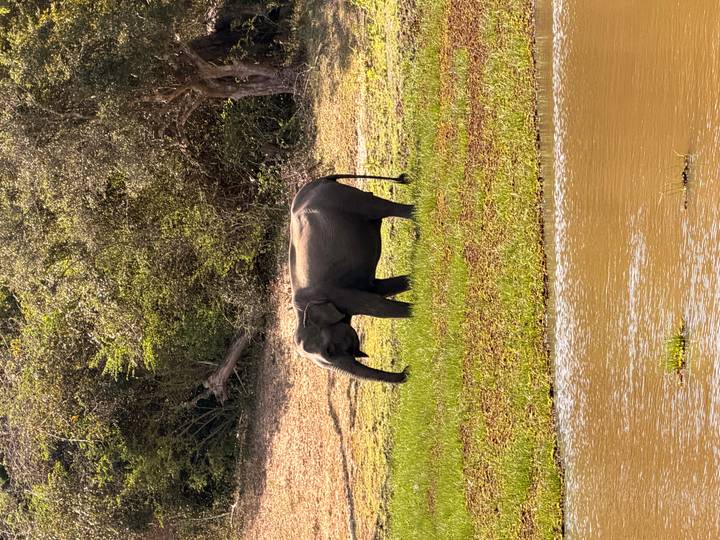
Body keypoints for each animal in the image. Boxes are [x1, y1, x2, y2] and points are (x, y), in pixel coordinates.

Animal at [289, 173, 414, 383]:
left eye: (329, 351)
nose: (407, 369)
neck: (300, 313)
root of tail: (322, 180)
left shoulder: (338, 294)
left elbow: (378, 307)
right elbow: (382, 288)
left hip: (345, 200)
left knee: (382, 207)